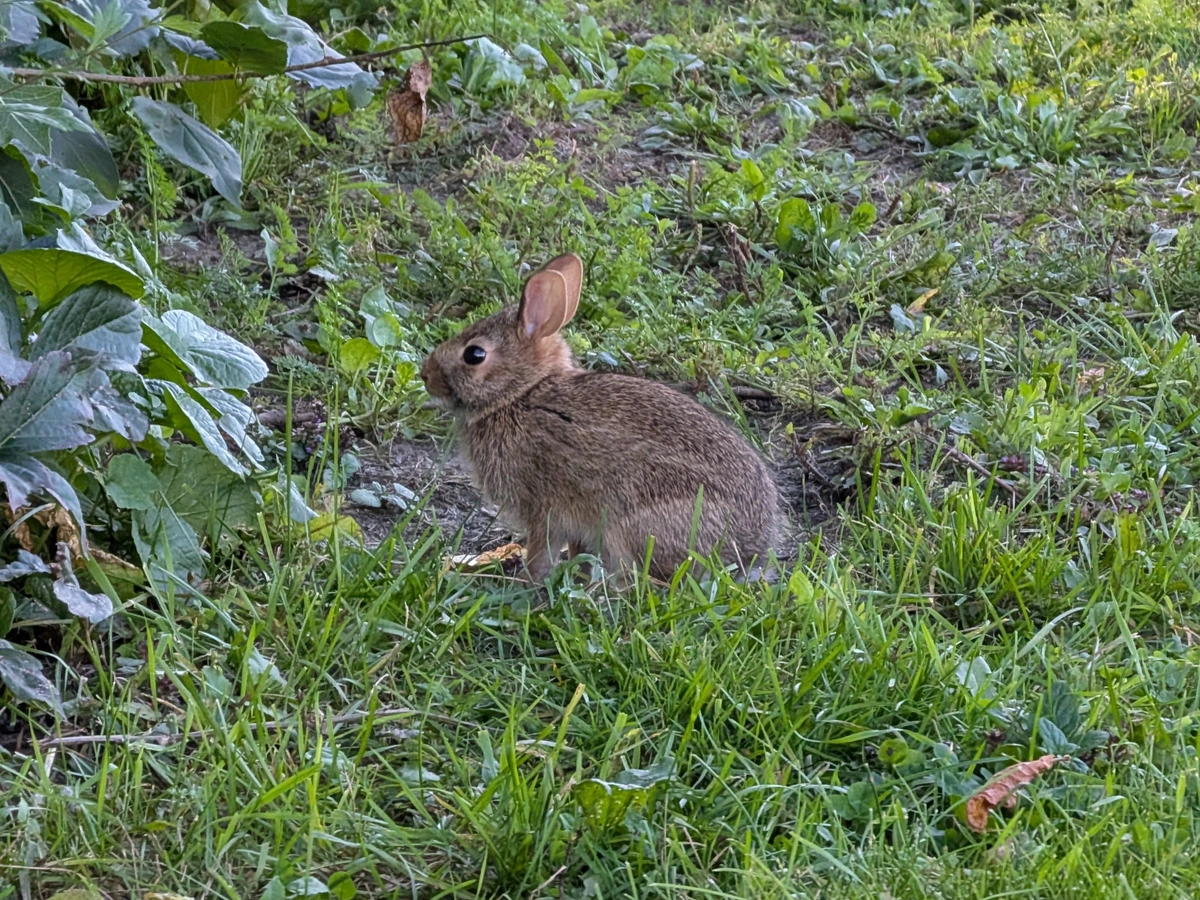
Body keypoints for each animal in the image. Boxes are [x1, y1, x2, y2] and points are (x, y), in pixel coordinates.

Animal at [419, 253, 782, 584]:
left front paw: (527, 582)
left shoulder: (544, 509)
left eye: (474, 354)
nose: (426, 375)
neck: (522, 394)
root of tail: (749, 554)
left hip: (634, 525)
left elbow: (541, 552)